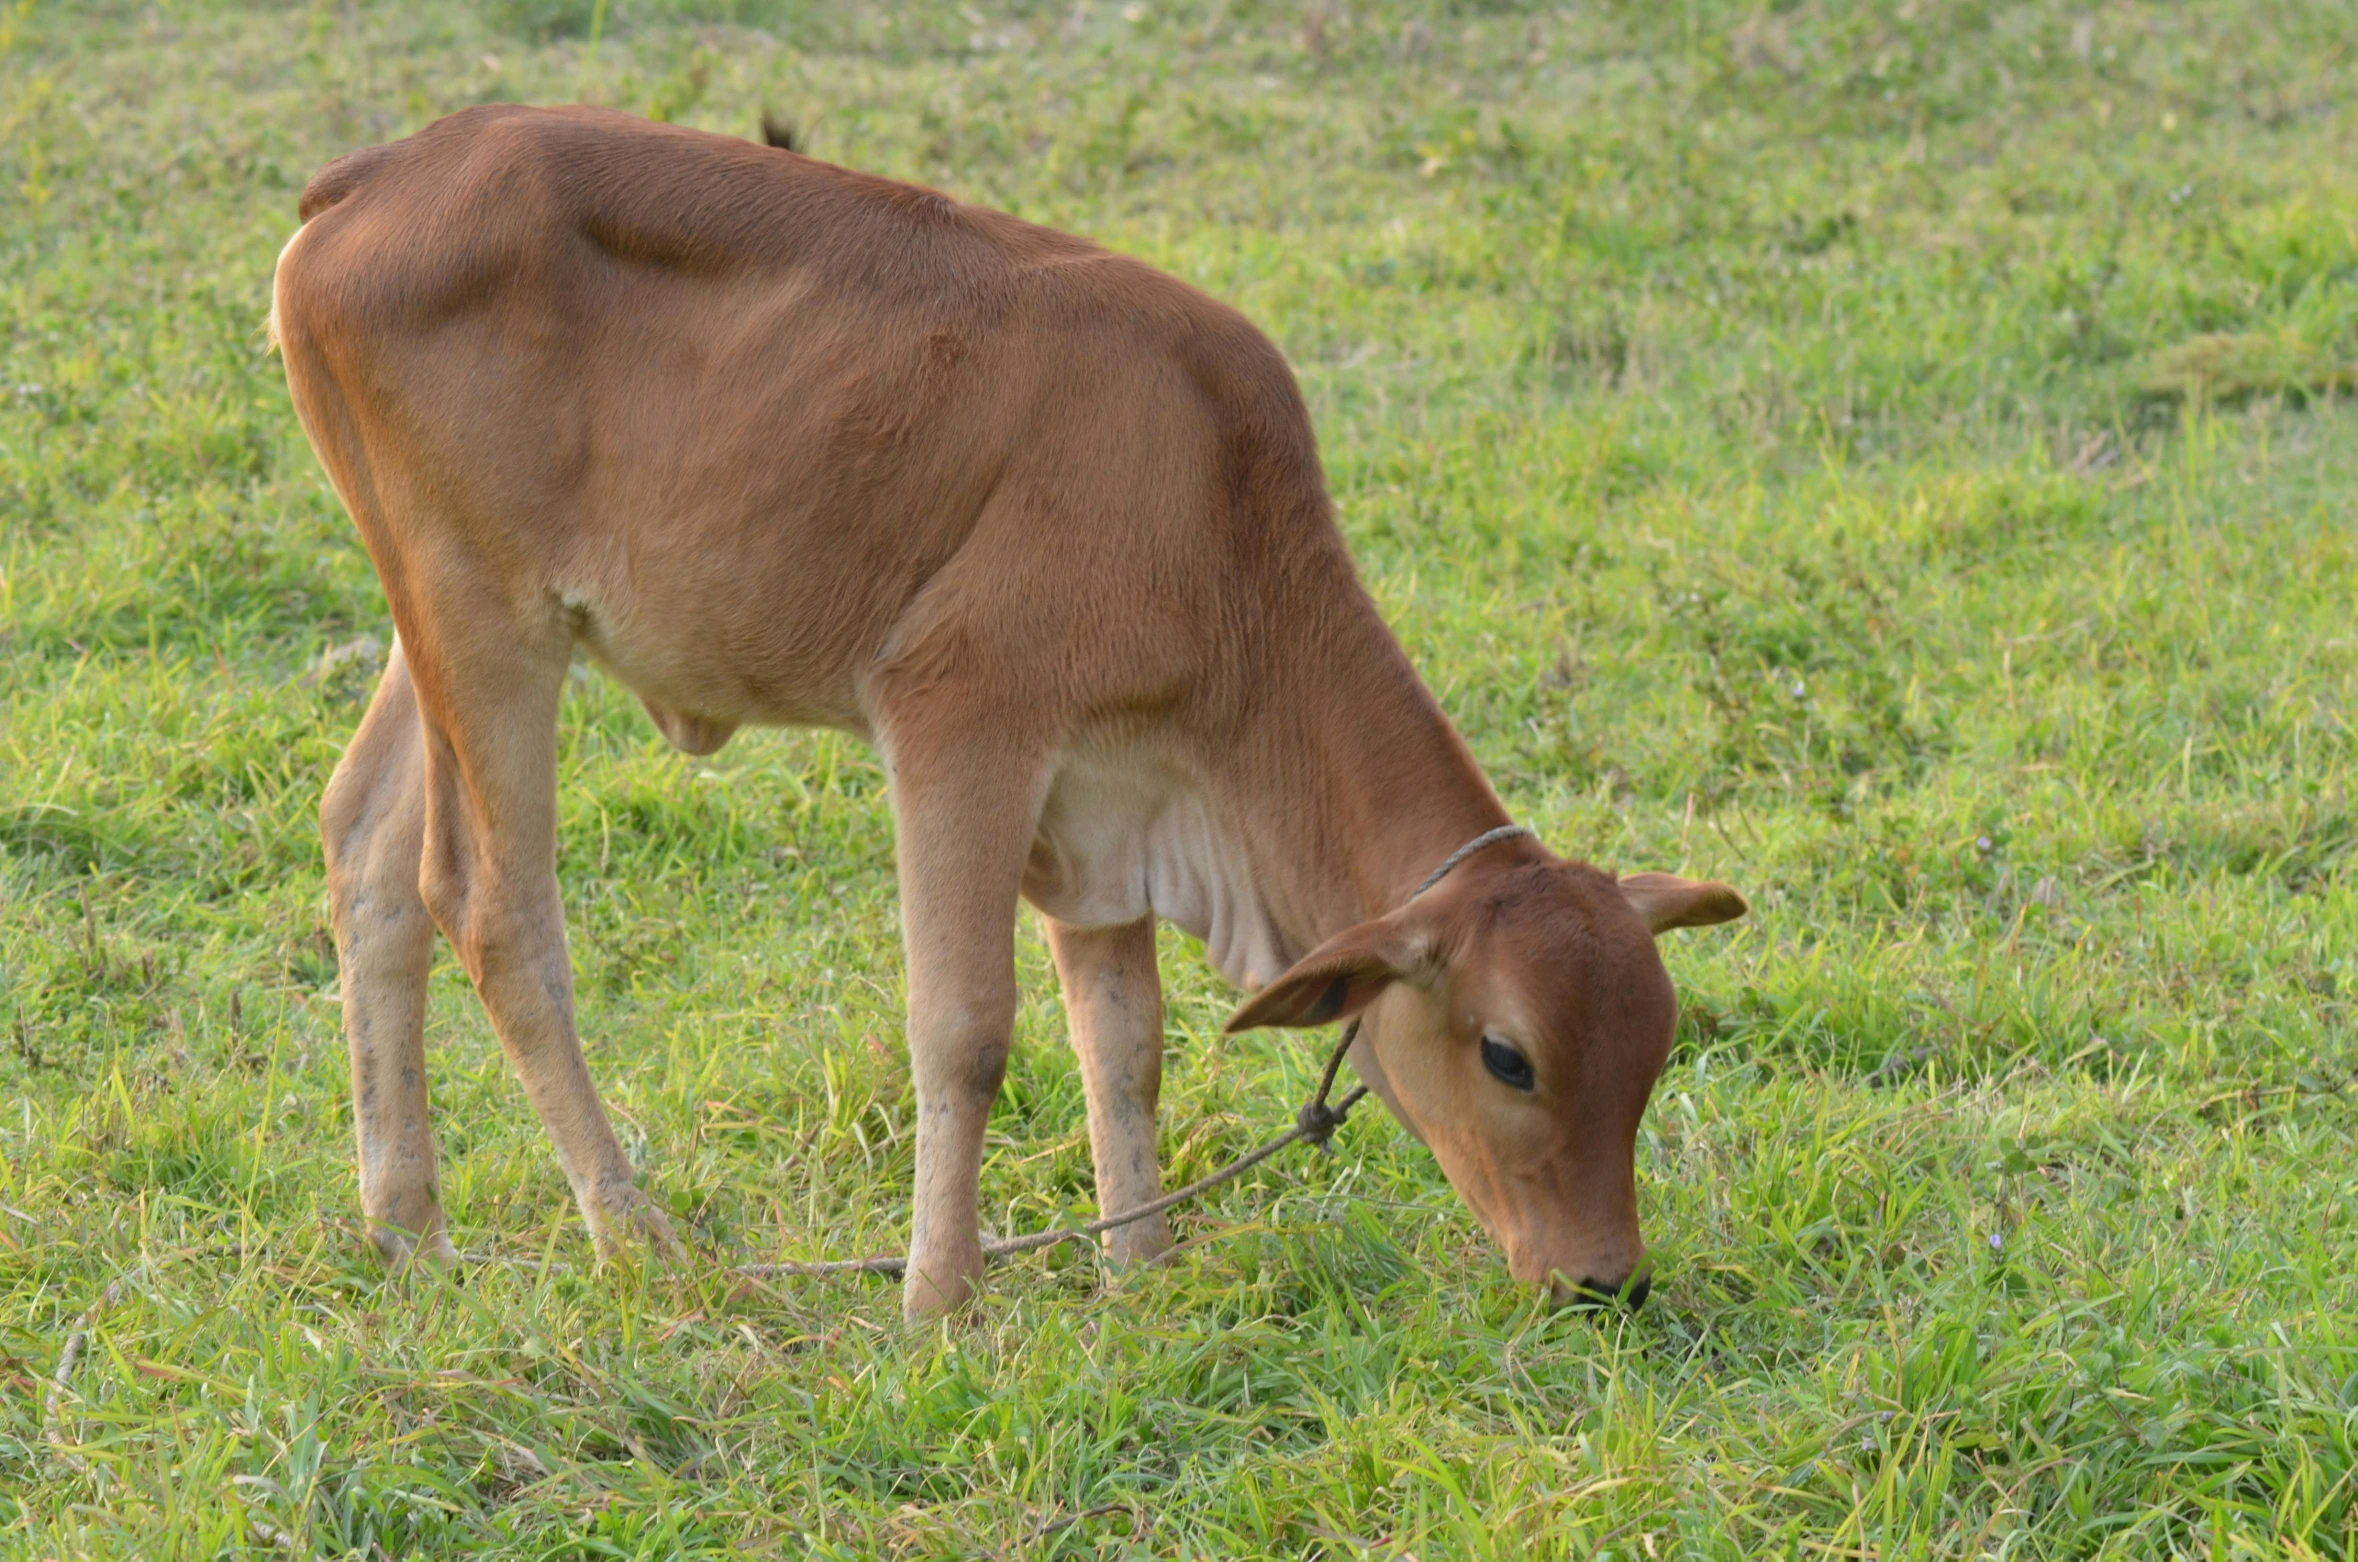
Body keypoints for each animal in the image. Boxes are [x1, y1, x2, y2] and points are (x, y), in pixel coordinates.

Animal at [280, 110, 1754, 1330]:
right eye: (1509, 1055)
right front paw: (942, 1296)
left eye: (1655, 1049)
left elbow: (1127, 1042)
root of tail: (381, 172)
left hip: (432, 624)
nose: (1605, 1279)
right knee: (489, 902)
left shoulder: (1103, 804)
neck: (1213, 516)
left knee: (366, 849)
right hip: (489, 619)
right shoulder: (961, 718)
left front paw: (1139, 1262)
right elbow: (967, 1027)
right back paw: (635, 1233)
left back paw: (406, 1224)